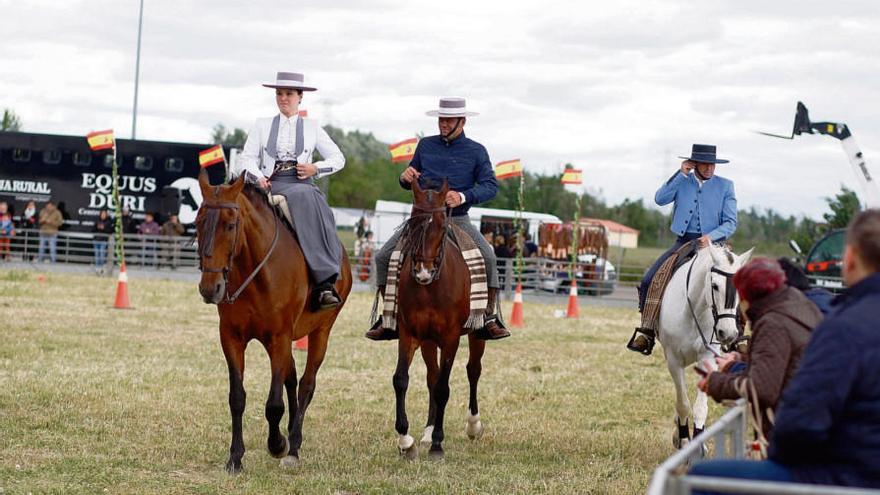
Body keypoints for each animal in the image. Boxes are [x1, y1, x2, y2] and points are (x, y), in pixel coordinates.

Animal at [194, 171, 352, 476]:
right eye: (197, 223)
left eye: (230, 225)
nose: (210, 288)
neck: (257, 273)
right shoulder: (231, 338)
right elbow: (237, 397)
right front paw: (235, 458)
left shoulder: (278, 338)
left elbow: (274, 404)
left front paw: (278, 444)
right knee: (291, 378)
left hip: (321, 331)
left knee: (306, 384)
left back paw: (294, 445)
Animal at [392, 180, 488, 464]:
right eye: (412, 222)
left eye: (443, 227)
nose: (423, 272)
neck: (430, 289)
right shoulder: (409, 334)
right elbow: (401, 380)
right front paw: (406, 441)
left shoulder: (451, 338)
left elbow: (444, 388)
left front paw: (437, 444)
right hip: (427, 341)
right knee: (432, 378)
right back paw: (427, 431)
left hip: (477, 335)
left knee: (473, 371)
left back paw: (473, 426)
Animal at [656, 244, 752, 450]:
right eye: (714, 285)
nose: (727, 333)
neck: (694, 311)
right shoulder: (674, 361)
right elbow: (683, 404)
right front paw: (684, 439)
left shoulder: (708, 357)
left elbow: (700, 407)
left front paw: (698, 444)